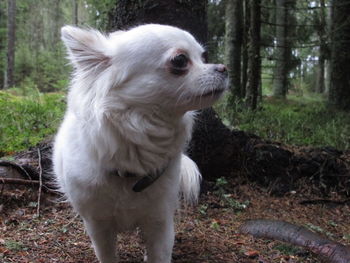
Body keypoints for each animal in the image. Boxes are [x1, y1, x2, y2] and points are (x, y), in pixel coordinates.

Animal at [52, 24, 227, 263]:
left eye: (203, 57)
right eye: (180, 60)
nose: (224, 68)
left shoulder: (160, 223)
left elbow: (158, 254)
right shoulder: (98, 225)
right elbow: (107, 255)